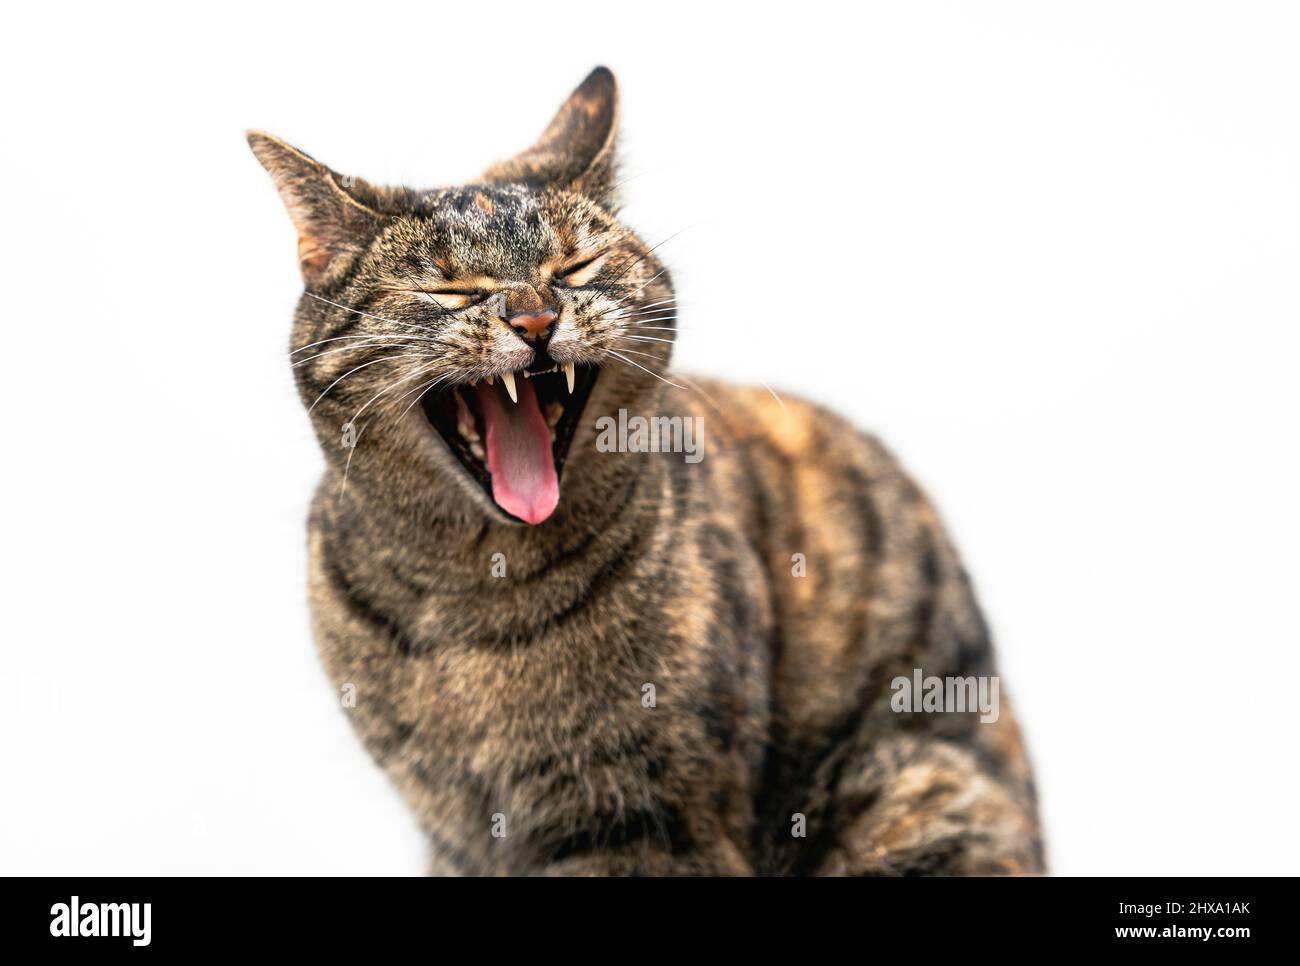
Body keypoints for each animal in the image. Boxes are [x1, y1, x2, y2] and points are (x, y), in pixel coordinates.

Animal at [248, 65, 1045, 878]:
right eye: (451, 289)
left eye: (574, 268)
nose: (535, 319)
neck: (473, 600)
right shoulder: (459, 833)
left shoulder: (650, 819)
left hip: (914, 781)